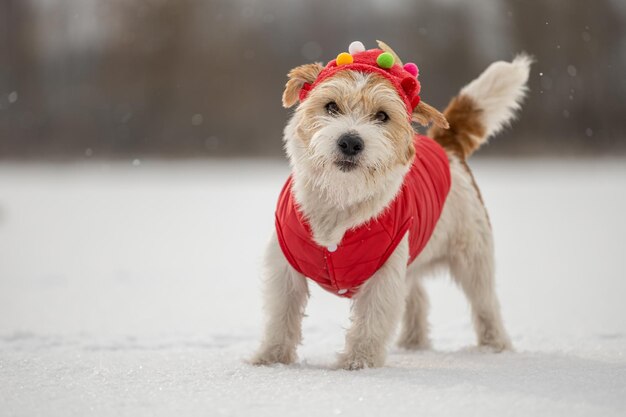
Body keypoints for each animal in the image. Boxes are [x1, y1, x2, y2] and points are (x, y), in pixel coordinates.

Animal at [251, 40, 528, 368]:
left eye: (382, 116)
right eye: (331, 106)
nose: (350, 142)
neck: (341, 198)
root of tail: (446, 146)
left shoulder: (384, 273)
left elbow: (372, 320)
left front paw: (358, 362)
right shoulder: (285, 267)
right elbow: (281, 317)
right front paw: (271, 359)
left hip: (473, 258)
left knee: (485, 304)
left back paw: (494, 347)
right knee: (418, 299)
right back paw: (413, 343)